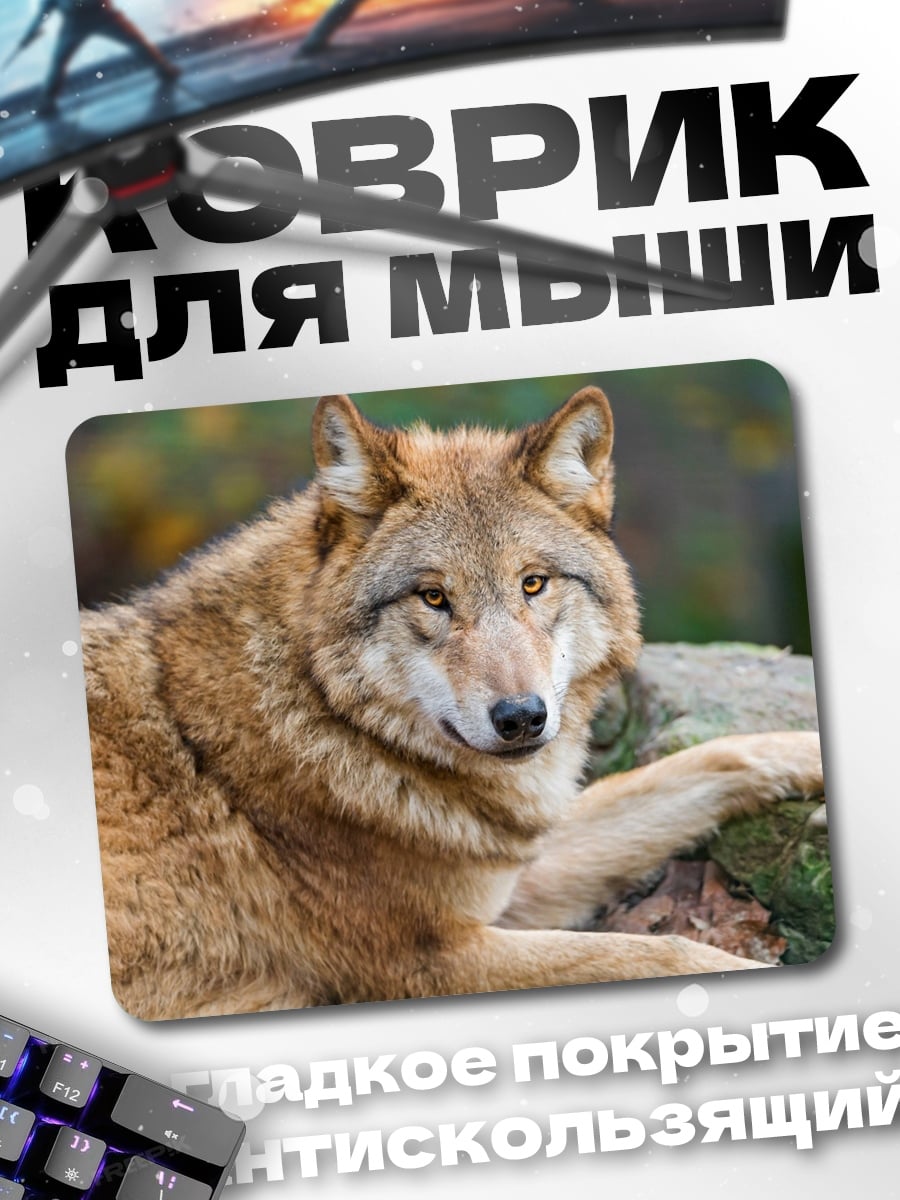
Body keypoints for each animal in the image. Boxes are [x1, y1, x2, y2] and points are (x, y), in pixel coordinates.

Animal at [82, 386, 823, 1019]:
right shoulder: (435, 960)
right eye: (434, 597)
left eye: (533, 583)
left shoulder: (503, 874)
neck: (318, 712)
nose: (521, 718)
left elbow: (702, 762)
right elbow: (660, 952)